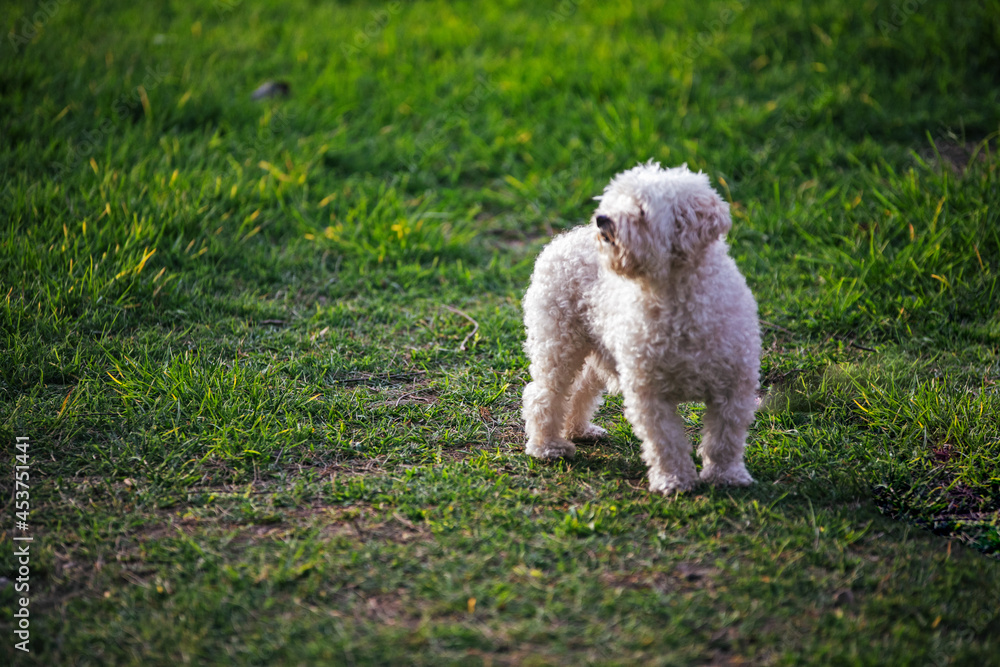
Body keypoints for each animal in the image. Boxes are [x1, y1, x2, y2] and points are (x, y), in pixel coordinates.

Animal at [520, 162, 760, 496]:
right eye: (615, 200)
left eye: (642, 209)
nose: (602, 219)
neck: (676, 298)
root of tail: (563, 238)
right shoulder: (650, 394)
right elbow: (666, 442)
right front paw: (674, 481)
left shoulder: (734, 386)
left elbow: (724, 440)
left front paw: (727, 476)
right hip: (558, 343)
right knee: (544, 394)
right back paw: (548, 446)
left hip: (600, 348)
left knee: (581, 390)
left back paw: (578, 430)